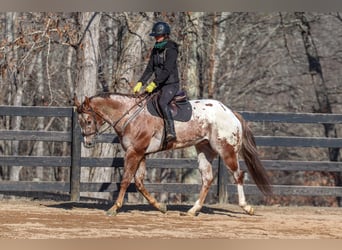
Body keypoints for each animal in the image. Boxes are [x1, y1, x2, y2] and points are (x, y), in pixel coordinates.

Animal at [74, 93, 272, 216]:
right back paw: (193, 210)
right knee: (207, 178)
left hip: (227, 150)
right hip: (204, 150)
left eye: (88, 121)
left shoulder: (134, 152)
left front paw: (114, 208)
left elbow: (126, 180)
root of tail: (230, 112)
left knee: (238, 175)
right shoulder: (141, 154)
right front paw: (160, 206)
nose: (88, 143)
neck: (130, 115)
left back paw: (246, 207)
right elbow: (139, 182)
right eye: (80, 122)